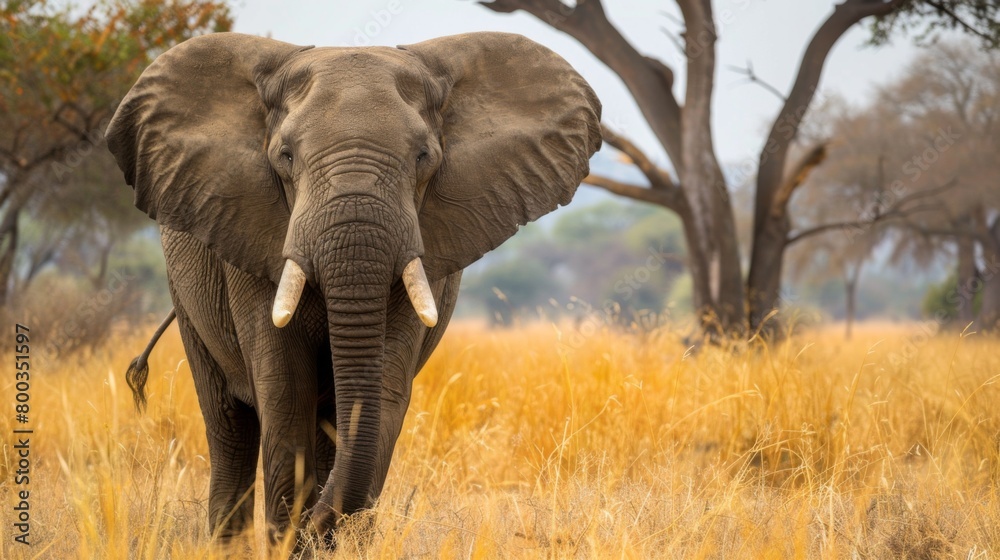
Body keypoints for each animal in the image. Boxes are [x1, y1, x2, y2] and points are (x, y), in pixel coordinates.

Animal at [106, 31, 601, 543]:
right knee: (228, 424)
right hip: (185, 291)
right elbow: (284, 393)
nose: (310, 530)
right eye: (285, 157)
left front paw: (329, 539)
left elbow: (381, 397)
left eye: (423, 157)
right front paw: (290, 539)